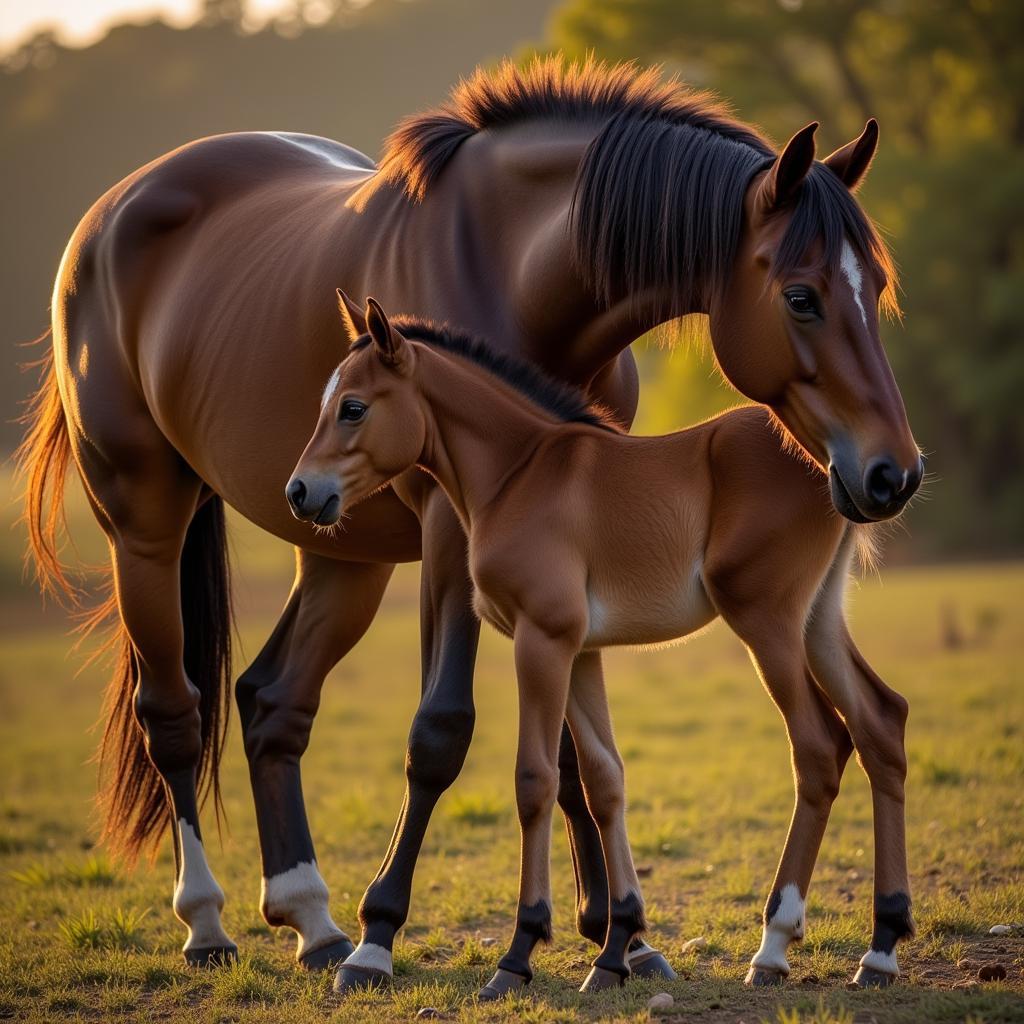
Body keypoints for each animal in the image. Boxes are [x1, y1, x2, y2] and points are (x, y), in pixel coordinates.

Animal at [290, 299, 921, 999]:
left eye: (352, 407)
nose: (301, 492)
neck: (518, 472)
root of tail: (835, 466)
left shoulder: (543, 639)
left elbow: (535, 780)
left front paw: (520, 952)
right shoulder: (582, 651)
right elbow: (604, 780)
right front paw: (618, 949)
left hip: (768, 621)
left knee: (818, 747)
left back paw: (775, 945)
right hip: (818, 620)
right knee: (879, 721)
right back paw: (882, 946)